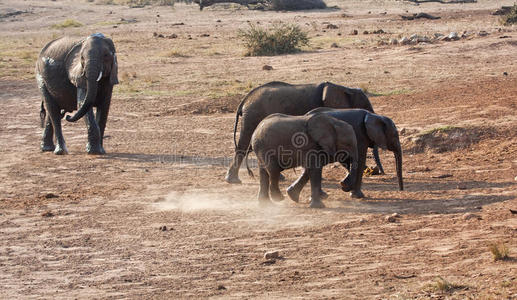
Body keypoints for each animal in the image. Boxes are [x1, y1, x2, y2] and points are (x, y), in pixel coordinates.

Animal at [224, 81, 380, 184]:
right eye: (365, 107)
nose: (375, 171)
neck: (344, 88)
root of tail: (244, 100)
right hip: (253, 115)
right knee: (244, 144)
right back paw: (233, 180)